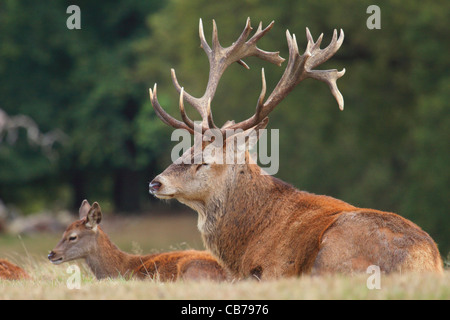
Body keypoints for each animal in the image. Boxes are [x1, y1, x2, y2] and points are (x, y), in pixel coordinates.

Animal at [148, 18, 442, 280]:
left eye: (204, 160)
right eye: (184, 150)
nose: (155, 183)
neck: (244, 245)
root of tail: (427, 260)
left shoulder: (273, 268)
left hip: (335, 250)